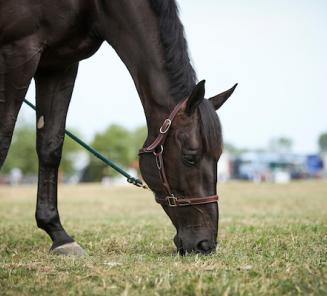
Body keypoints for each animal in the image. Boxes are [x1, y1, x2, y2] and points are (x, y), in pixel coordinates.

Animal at [1, 0, 240, 256]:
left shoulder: (60, 64)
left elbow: (50, 147)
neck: (93, 7)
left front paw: (60, 236)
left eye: (219, 157)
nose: (205, 244)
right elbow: (4, 140)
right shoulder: (19, 51)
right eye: (190, 157)